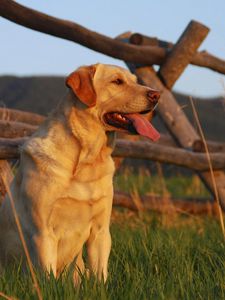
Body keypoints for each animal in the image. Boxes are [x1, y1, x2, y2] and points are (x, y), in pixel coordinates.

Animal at [0, 63, 160, 284]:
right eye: (117, 81)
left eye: (136, 81)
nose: (157, 95)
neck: (87, 160)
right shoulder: (43, 233)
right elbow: (49, 278)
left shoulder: (101, 231)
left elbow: (100, 275)